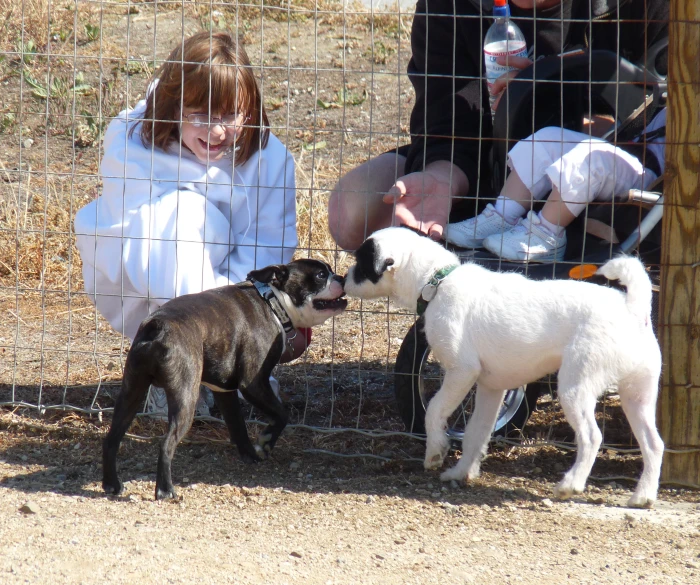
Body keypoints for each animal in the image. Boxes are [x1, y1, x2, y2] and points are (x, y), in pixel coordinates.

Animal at [348, 227, 664, 506]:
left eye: (360, 262)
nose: (343, 277)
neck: (436, 281)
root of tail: (632, 308)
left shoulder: (461, 372)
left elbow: (435, 411)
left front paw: (435, 452)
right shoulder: (491, 389)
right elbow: (476, 434)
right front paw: (462, 472)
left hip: (576, 388)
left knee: (591, 437)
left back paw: (571, 484)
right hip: (638, 395)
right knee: (654, 444)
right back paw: (643, 497)